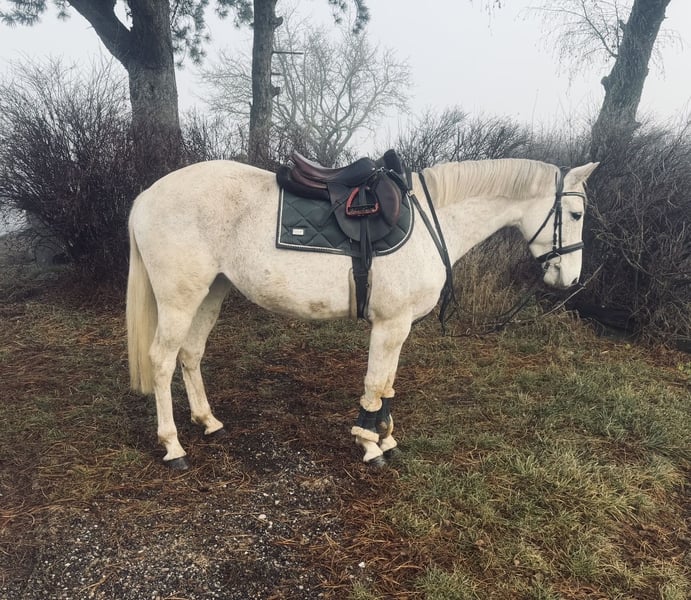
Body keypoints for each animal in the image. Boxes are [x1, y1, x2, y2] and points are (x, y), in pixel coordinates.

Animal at [126, 157, 598, 469]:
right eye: (575, 213)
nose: (571, 278)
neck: (432, 224)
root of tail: (147, 195)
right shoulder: (390, 324)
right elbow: (375, 383)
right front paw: (369, 444)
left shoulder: (399, 326)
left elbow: (387, 384)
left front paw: (385, 438)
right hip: (179, 297)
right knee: (163, 360)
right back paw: (173, 446)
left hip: (211, 291)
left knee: (190, 355)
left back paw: (208, 421)